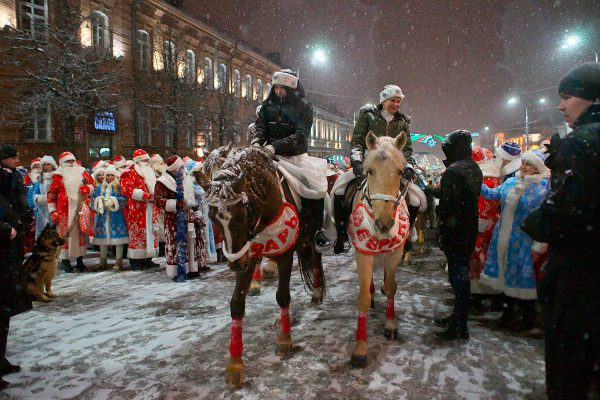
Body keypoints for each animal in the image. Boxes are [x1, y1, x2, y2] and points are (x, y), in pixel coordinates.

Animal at [205, 145, 328, 386]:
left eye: (243, 211)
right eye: (213, 217)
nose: (235, 263)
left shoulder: (284, 254)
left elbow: (283, 296)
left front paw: (284, 340)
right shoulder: (249, 254)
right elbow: (237, 304)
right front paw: (234, 365)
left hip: (312, 236)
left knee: (316, 260)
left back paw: (317, 292)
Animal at [344, 132, 410, 368]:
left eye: (400, 171)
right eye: (369, 170)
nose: (384, 224)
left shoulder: (395, 254)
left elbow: (391, 287)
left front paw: (391, 326)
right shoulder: (363, 253)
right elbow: (363, 296)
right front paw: (360, 350)